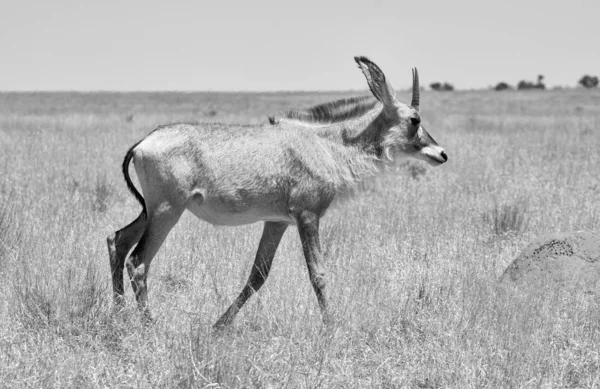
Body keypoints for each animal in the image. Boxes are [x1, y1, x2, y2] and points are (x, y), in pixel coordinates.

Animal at [106, 56, 446, 328]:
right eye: (414, 119)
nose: (441, 153)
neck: (325, 143)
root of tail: (143, 144)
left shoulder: (277, 222)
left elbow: (258, 275)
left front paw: (218, 326)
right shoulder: (307, 217)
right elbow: (318, 274)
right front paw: (332, 326)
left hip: (152, 210)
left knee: (117, 240)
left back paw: (119, 316)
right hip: (167, 211)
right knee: (138, 262)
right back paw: (151, 325)